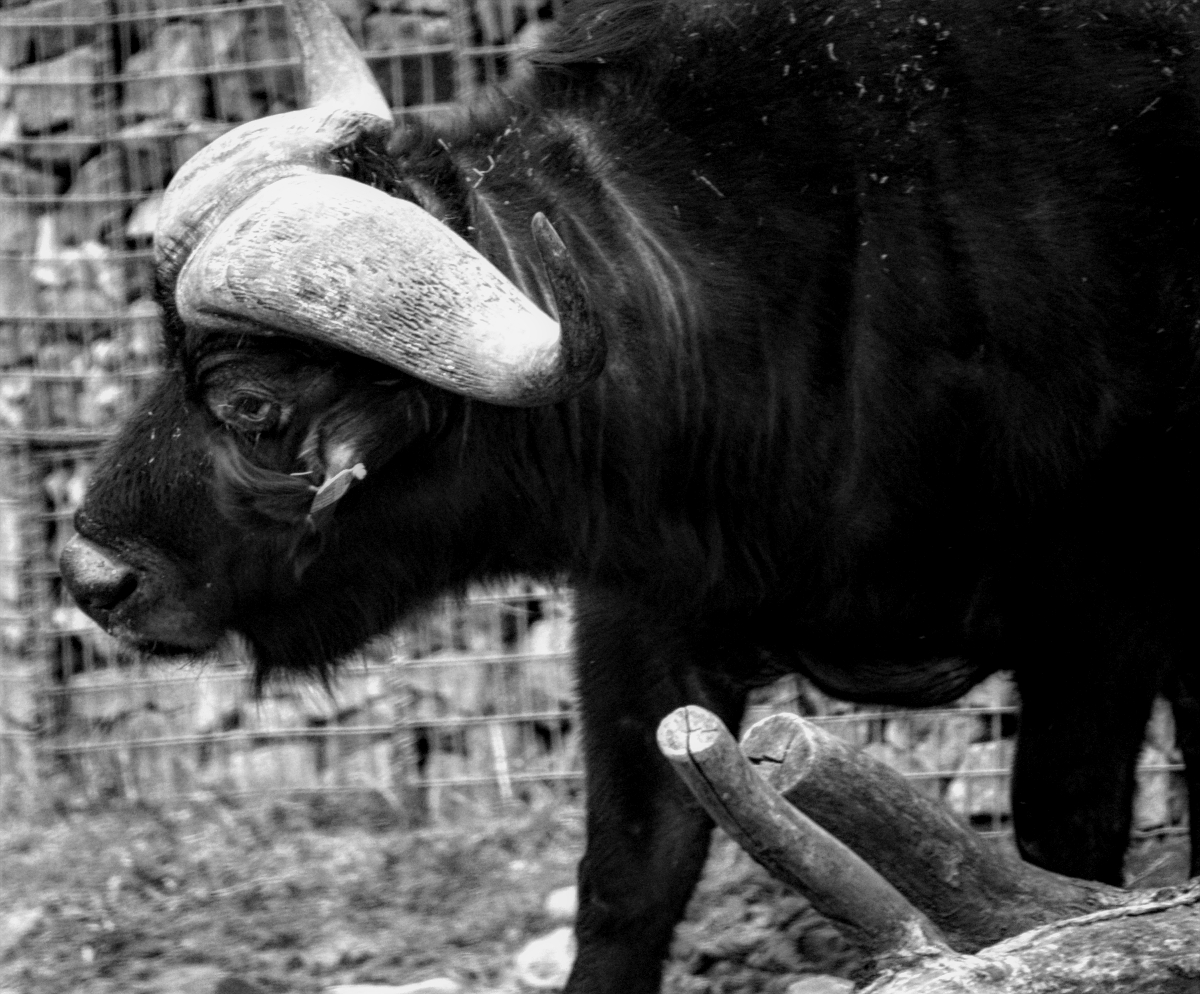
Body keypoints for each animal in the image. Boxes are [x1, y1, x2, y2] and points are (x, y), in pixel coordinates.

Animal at [61, 0, 1199, 989]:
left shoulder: (1099, 620)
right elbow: (629, 879)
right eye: (168, 354)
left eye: (251, 401)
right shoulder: (647, 611)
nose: (89, 575)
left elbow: (1067, 849)